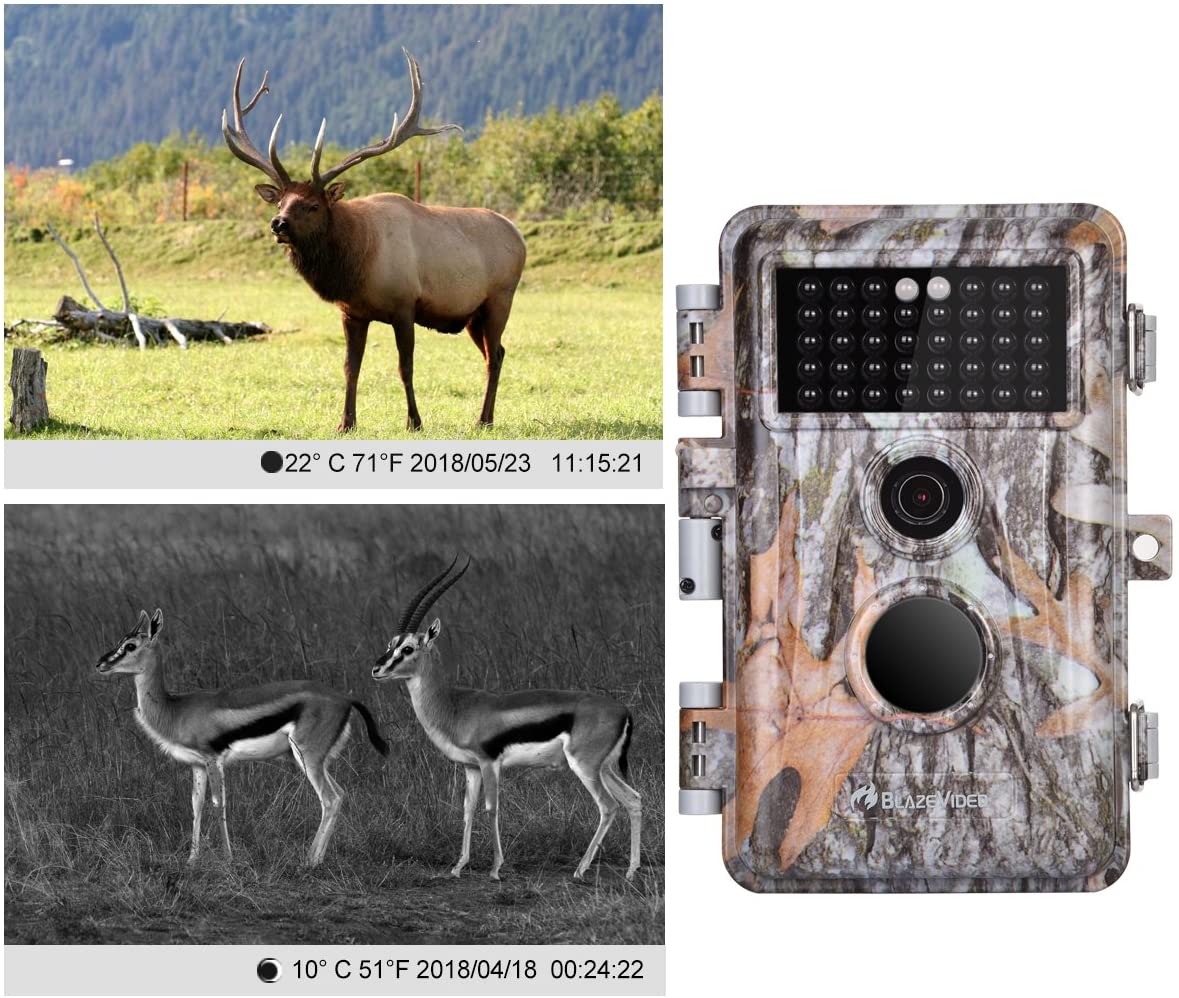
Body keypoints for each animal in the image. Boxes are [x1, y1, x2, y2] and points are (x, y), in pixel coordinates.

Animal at [94, 608, 389, 866]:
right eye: (120, 640)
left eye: (130, 645)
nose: (100, 664)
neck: (176, 709)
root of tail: (345, 699)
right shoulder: (197, 765)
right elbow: (196, 807)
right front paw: (191, 860)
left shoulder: (213, 759)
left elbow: (218, 805)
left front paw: (227, 859)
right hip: (315, 761)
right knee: (340, 795)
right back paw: (316, 859)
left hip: (308, 757)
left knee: (329, 799)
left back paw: (309, 861)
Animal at [221, 50, 526, 432]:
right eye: (280, 202)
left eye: (313, 205)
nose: (278, 224)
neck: (357, 264)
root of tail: (519, 235)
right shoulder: (351, 313)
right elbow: (350, 368)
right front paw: (345, 423)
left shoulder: (405, 306)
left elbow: (405, 367)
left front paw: (414, 421)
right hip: (473, 314)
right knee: (496, 351)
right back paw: (486, 417)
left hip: (500, 298)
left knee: (494, 355)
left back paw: (482, 419)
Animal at [370, 558, 642, 882]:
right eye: (390, 643)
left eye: (408, 648)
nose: (376, 669)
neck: (454, 707)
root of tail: (624, 711)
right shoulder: (470, 767)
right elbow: (467, 810)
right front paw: (458, 866)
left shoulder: (490, 763)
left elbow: (492, 808)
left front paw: (496, 869)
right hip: (605, 768)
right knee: (633, 800)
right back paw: (631, 871)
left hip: (586, 766)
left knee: (609, 806)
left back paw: (580, 870)